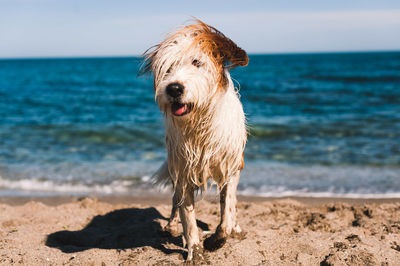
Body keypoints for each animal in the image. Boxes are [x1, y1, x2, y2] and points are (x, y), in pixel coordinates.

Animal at [140, 19, 247, 260]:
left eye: (197, 62)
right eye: (167, 67)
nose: (174, 88)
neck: (200, 123)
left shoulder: (230, 168)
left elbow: (227, 208)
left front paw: (219, 238)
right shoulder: (182, 171)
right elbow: (187, 215)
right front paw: (194, 250)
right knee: (174, 203)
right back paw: (171, 225)